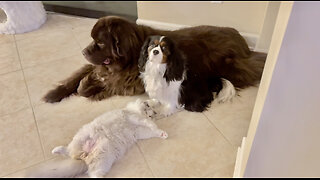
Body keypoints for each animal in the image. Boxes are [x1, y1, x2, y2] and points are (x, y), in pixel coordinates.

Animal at [28, 99, 168, 178]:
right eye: (149, 108)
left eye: (154, 112)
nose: (153, 114)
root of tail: (84, 157)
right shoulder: (134, 117)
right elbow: (147, 122)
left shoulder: (138, 132)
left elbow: (151, 131)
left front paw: (162, 133)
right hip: (82, 139)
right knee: (68, 152)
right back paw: (56, 150)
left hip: (102, 161)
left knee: (83, 166)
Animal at [43, 16, 268, 105]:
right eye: (92, 40)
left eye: (99, 42)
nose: (83, 51)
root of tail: (243, 42)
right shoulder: (98, 67)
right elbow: (77, 77)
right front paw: (55, 93)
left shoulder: (129, 82)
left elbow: (95, 86)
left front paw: (89, 88)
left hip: (229, 65)